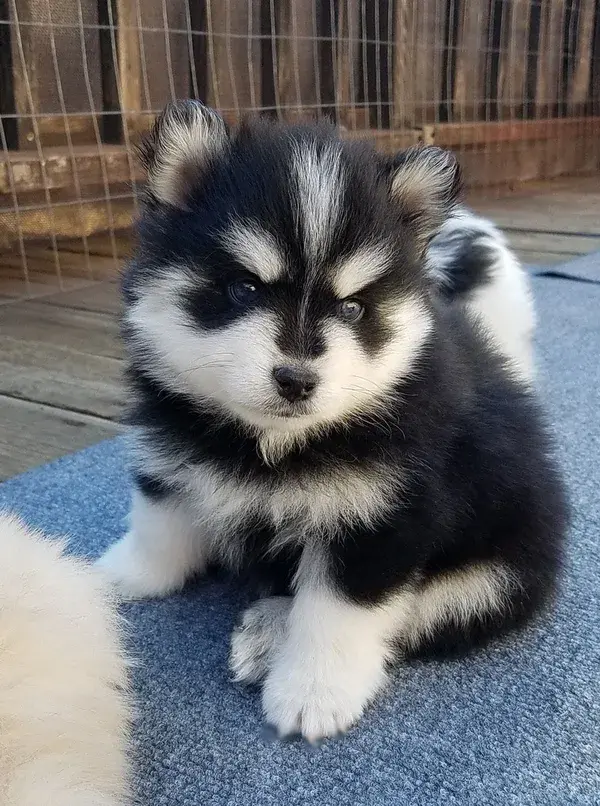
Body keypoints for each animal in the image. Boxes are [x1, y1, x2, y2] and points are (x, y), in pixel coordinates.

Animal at [98, 102, 568, 744]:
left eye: (351, 307)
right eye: (243, 287)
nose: (296, 379)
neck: (272, 443)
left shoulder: (380, 519)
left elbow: (336, 613)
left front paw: (312, 693)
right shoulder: (173, 451)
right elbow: (159, 522)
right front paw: (122, 574)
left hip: (497, 576)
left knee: (419, 613)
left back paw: (272, 631)